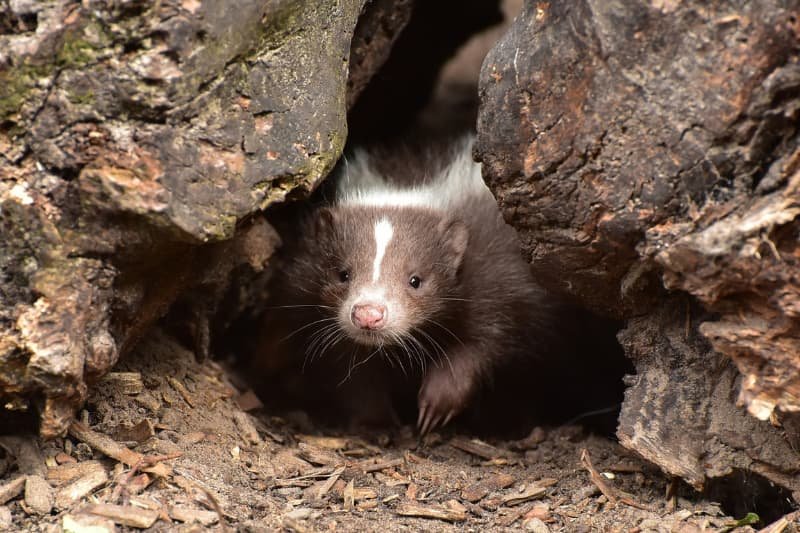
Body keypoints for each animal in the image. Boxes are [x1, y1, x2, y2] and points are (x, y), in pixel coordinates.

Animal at [262, 137, 576, 432]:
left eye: (416, 280)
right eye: (342, 274)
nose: (368, 315)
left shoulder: (500, 275)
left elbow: (485, 343)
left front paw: (435, 406)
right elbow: (350, 371)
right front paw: (375, 423)